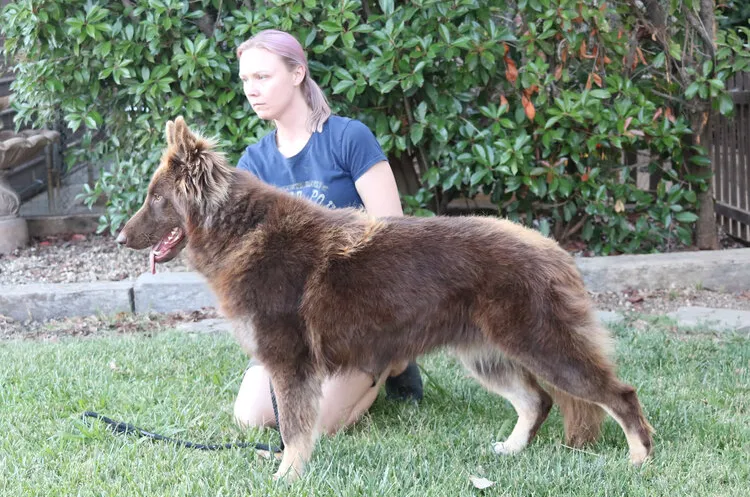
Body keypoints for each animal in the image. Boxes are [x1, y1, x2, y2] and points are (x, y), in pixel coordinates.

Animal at [116, 116, 652, 480]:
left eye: (157, 199)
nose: (120, 238)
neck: (241, 230)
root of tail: (553, 249)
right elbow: (294, 430)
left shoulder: (291, 368)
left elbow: (293, 431)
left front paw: (287, 475)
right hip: (485, 356)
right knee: (537, 401)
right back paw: (513, 449)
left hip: (544, 348)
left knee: (618, 394)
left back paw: (638, 459)